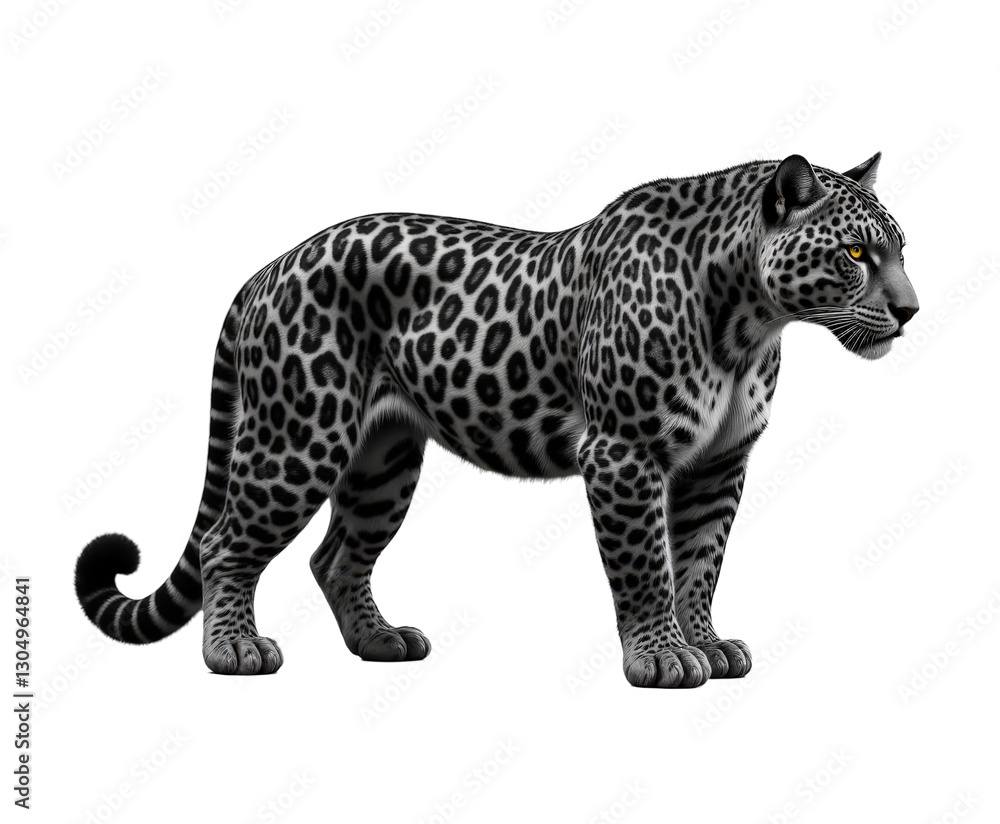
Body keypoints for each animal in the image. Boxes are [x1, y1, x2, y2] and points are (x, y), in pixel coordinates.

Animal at [74, 152, 918, 688]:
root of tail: (265, 269)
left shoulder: (718, 462)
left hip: (383, 459)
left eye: (902, 249)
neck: (750, 320)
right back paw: (235, 651)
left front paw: (706, 644)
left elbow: (702, 561)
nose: (911, 311)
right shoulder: (624, 453)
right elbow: (647, 564)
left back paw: (381, 641)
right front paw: (661, 658)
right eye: (855, 252)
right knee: (225, 543)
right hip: (298, 438)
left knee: (335, 556)